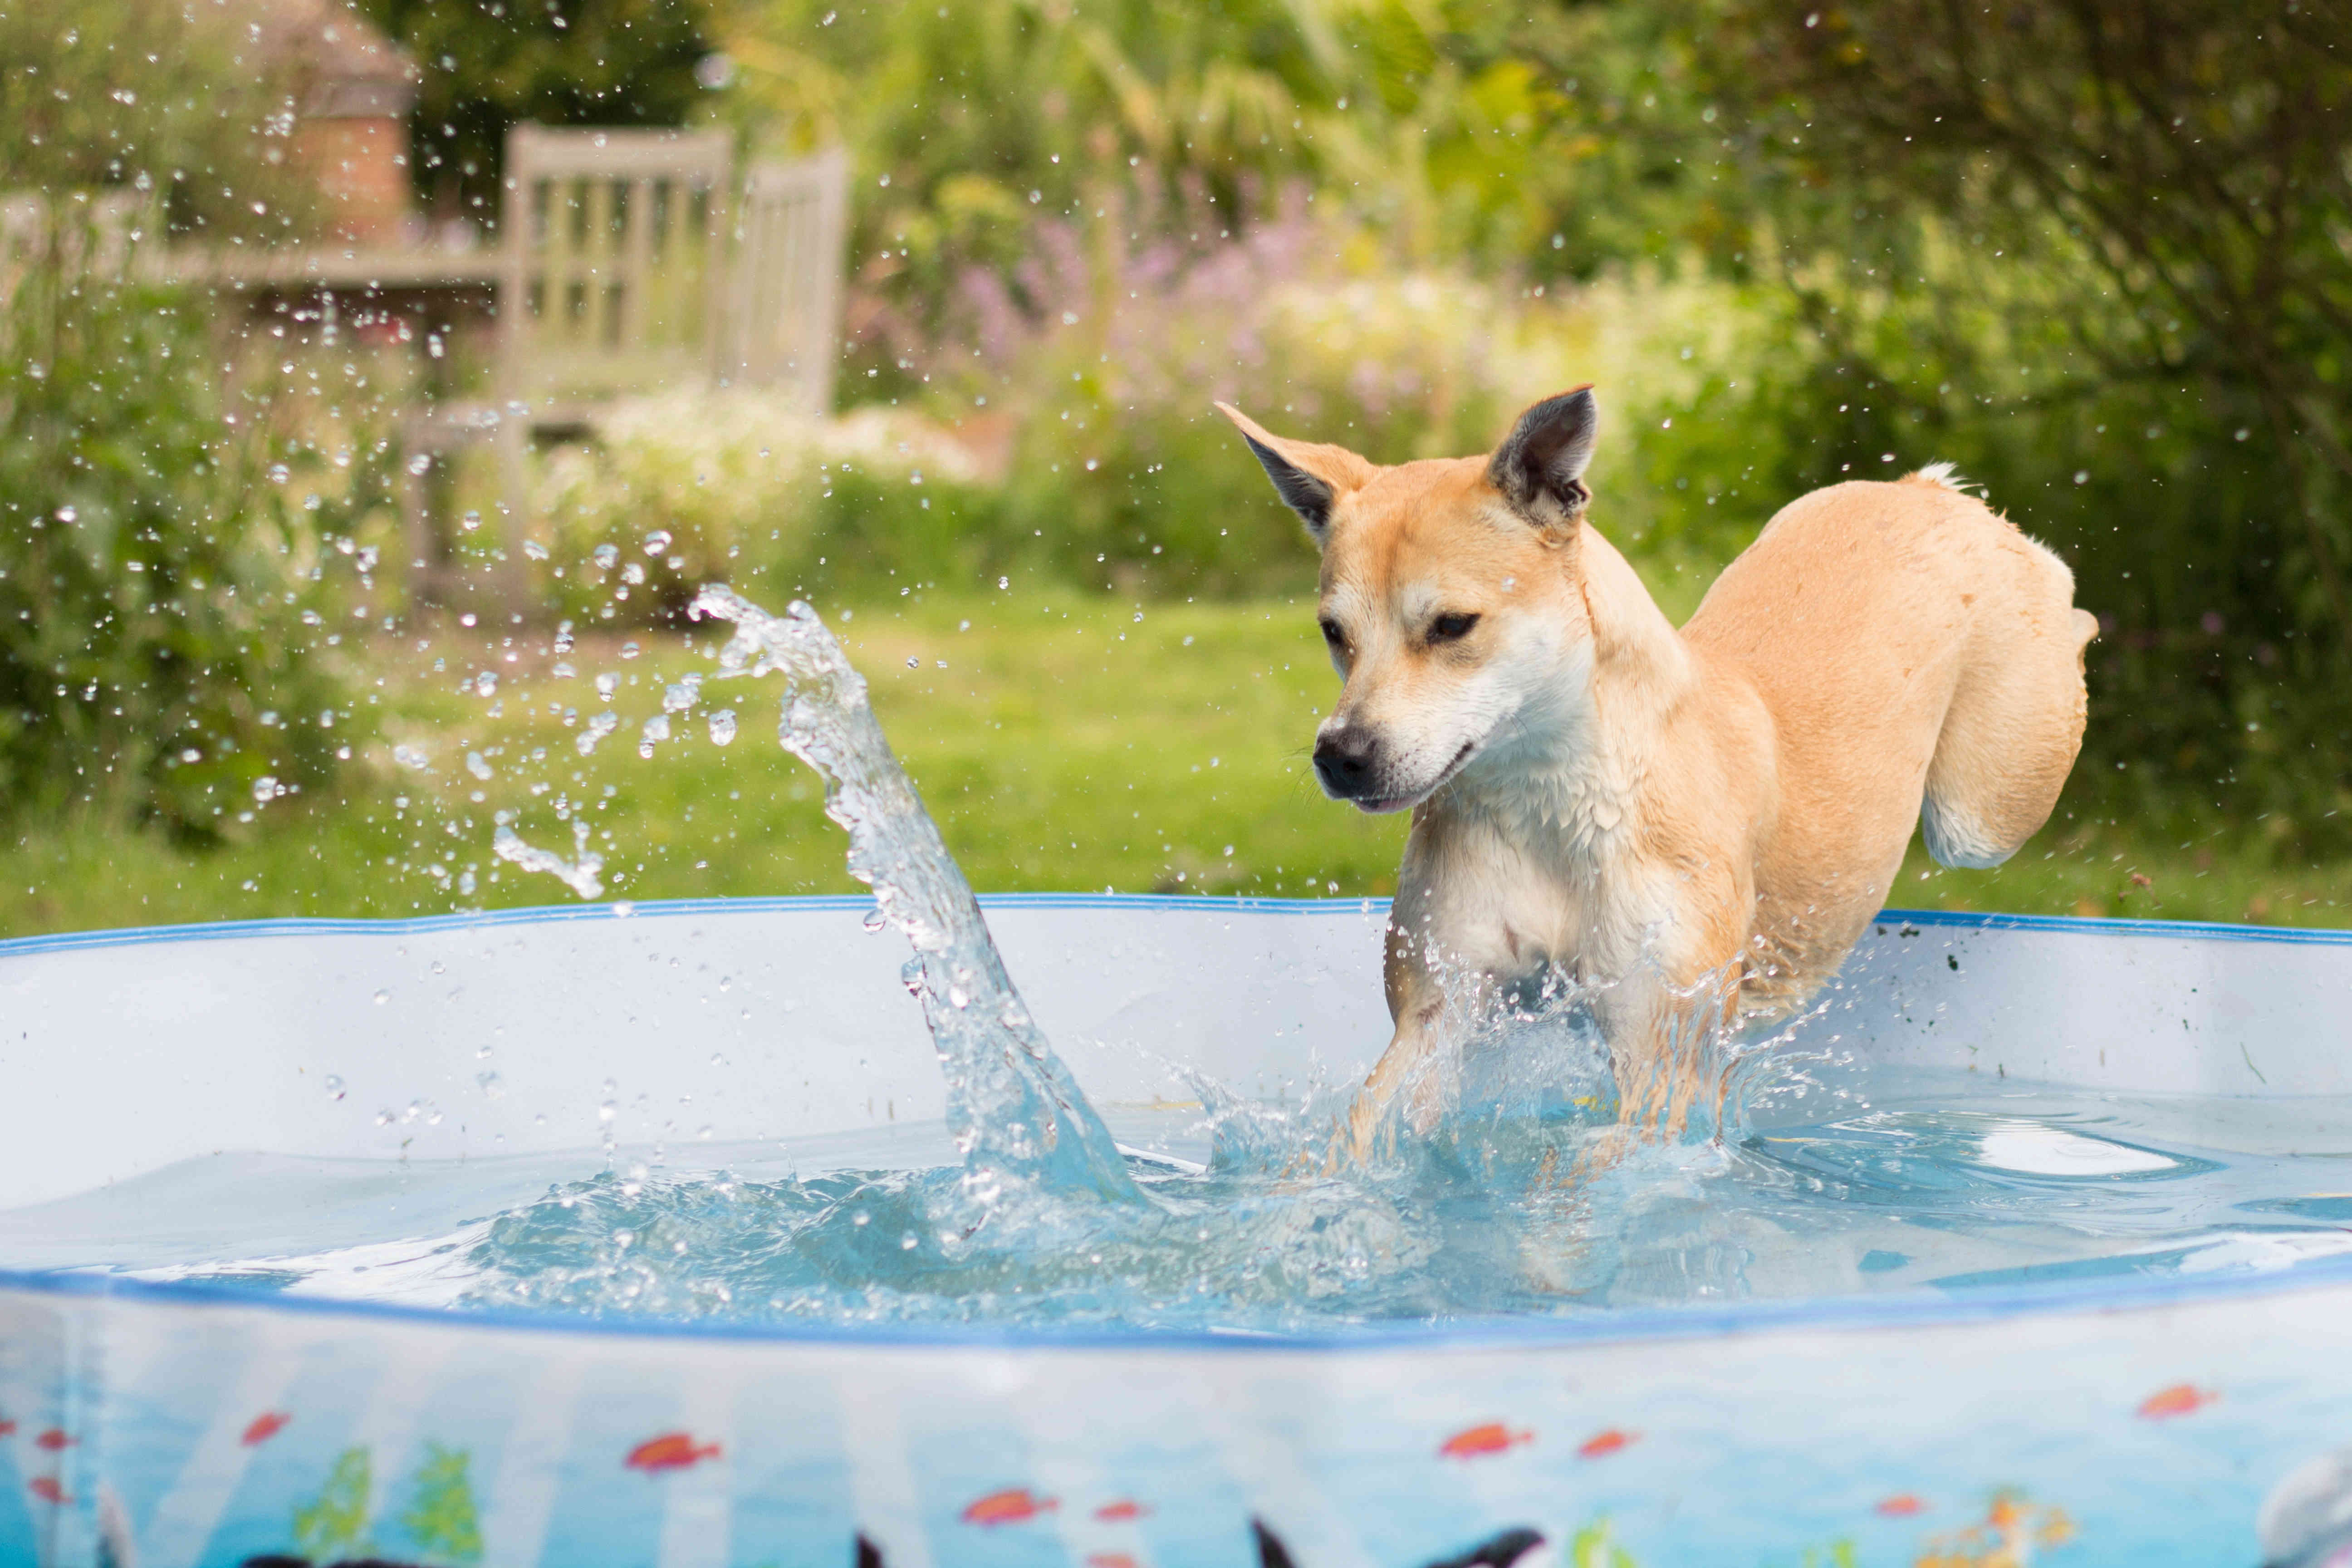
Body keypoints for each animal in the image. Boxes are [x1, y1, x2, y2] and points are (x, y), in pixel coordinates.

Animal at [1213, 390, 2098, 1166]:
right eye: (1333, 632)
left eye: (1452, 625)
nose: (1341, 753)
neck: (1548, 797)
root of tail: (1919, 494)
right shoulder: (1438, 1009)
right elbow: (1360, 1136)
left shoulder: (1658, 1049)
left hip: (1980, 815)